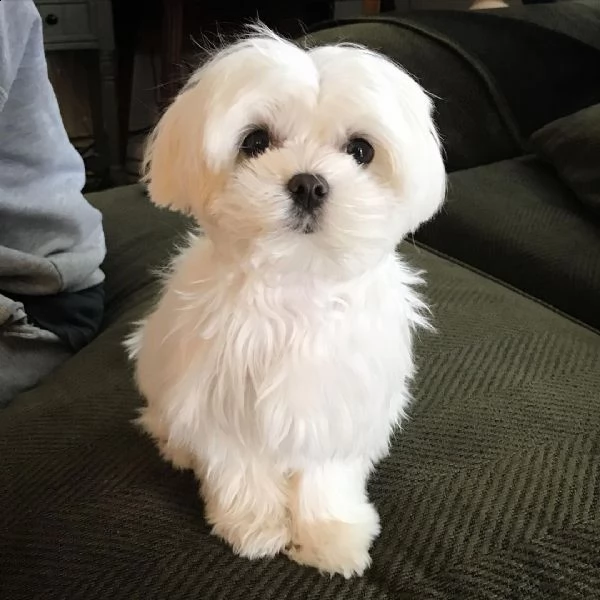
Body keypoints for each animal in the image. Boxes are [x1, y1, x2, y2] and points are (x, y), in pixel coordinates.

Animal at [126, 27, 446, 576]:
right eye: (254, 142)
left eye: (360, 150)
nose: (308, 183)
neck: (298, 280)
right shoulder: (219, 397)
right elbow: (240, 467)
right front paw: (254, 524)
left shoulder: (336, 402)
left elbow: (326, 475)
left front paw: (330, 533)